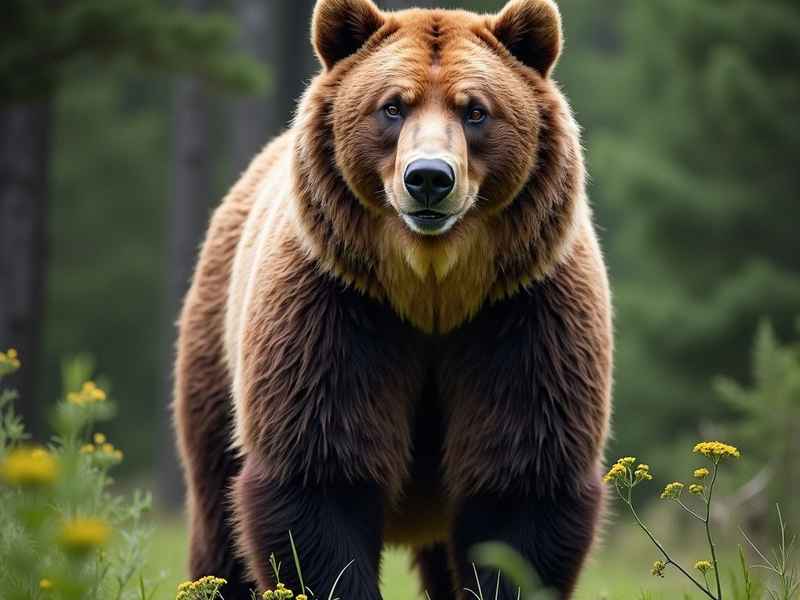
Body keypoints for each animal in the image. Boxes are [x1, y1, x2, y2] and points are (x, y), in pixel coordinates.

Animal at [173, 0, 613, 599]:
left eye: (476, 111)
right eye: (392, 107)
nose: (428, 177)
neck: (432, 290)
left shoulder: (522, 318)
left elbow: (520, 491)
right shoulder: (337, 312)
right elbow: (320, 478)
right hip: (217, 354)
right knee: (218, 515)